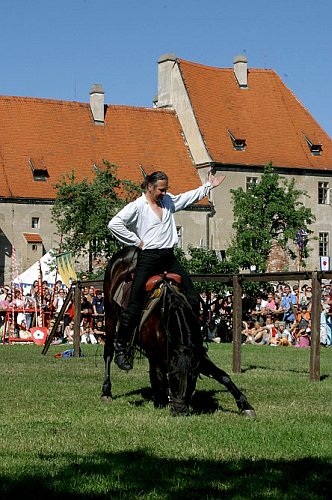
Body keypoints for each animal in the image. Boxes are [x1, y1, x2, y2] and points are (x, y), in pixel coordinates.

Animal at [102, 247, 256, 418]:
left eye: (192, 378)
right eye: (174, 377)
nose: (180, 410)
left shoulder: (198, 355)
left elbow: (223, 376)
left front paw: (245, 405)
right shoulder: (156, 356)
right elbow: (158, 376)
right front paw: (160, 400)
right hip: (110, 315)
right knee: (108, 352)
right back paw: (107, 391)